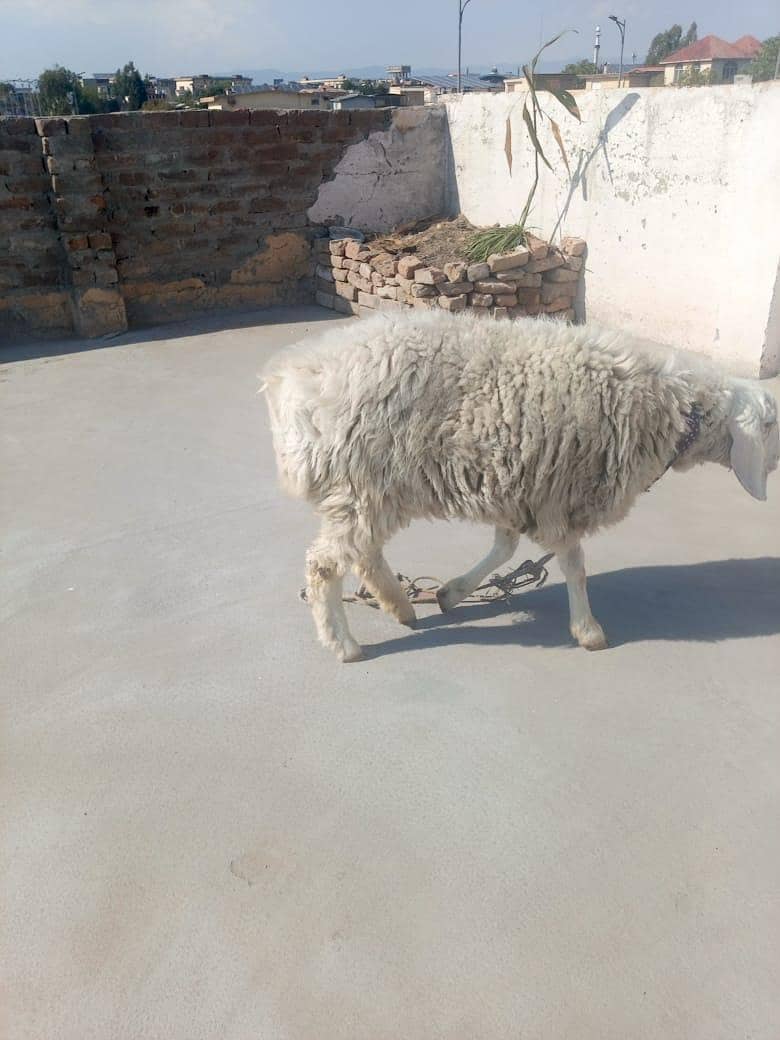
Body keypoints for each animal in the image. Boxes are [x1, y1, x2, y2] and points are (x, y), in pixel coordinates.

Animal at [262, 309, 779, 662]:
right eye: (771, 424)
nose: (775, 464)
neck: (668, 408)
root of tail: (288, 377)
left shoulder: (519, 484)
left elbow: (506, 548)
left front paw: (452, 592)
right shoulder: (558, 492)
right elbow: (574, 565)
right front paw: (587, 629)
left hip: (371, 487)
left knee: (364, 554)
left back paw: (400, 606)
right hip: (360, 482)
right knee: (325, 565)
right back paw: (345, 644)